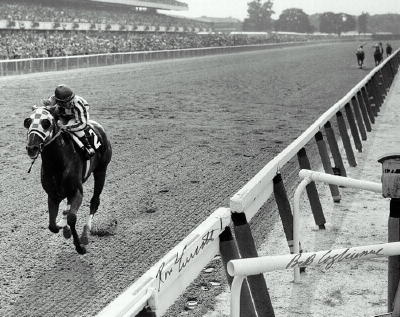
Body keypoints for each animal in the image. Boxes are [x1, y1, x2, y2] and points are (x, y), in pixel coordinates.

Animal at [23, 105, 111, 253]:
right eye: (28, 122)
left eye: (46, 123)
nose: (32, 148)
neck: (57, 163)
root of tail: (99, 126)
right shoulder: (53, 195)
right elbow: (52, 225)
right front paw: (63, 227)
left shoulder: (77, 192)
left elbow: (72, 217)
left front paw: (79, 246)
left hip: (101, 171)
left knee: (94, 202)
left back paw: (85, 234)